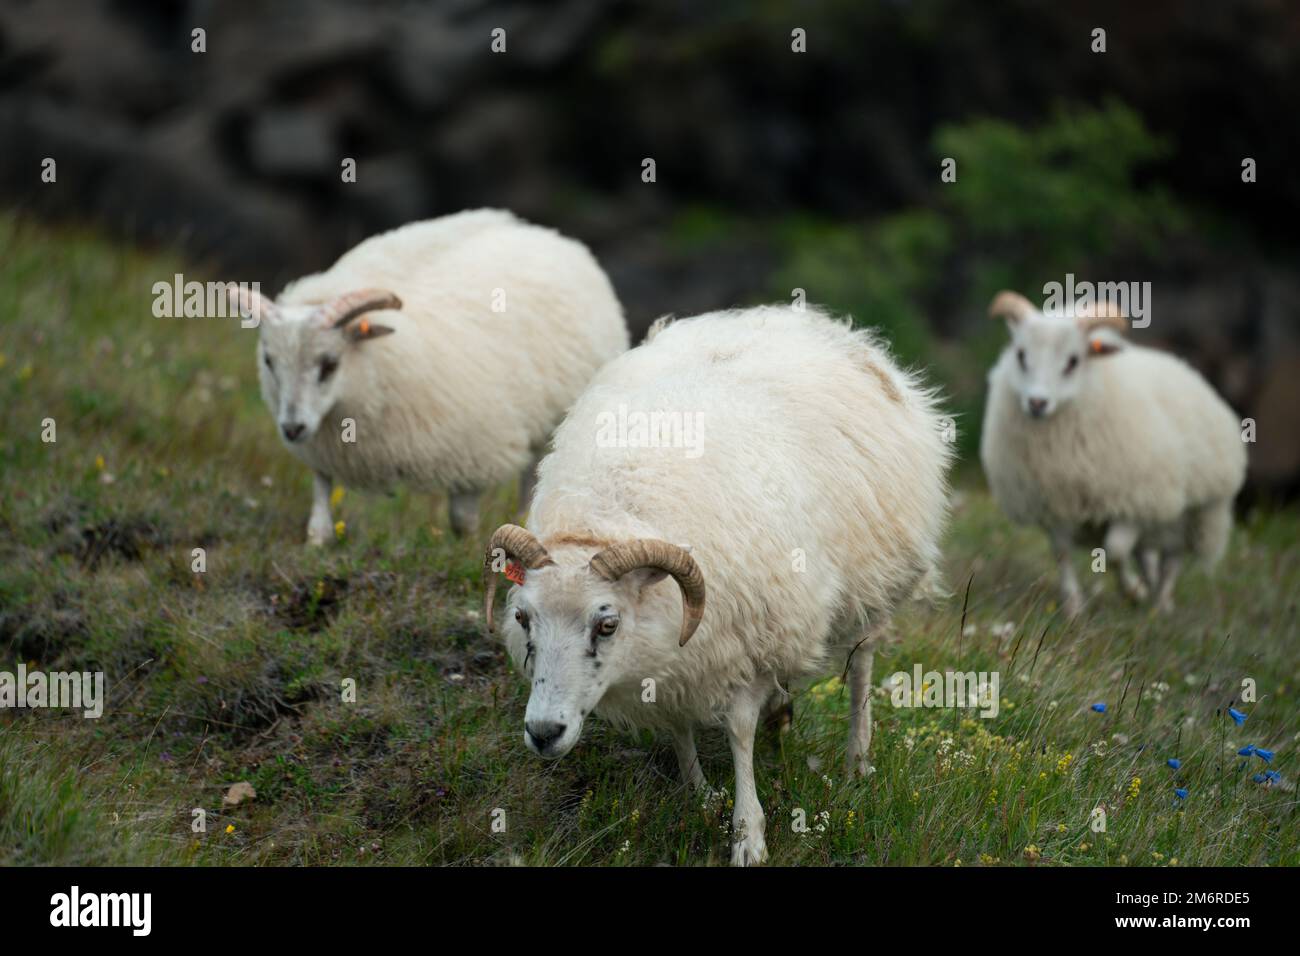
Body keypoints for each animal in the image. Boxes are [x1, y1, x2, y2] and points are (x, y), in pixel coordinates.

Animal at [232, 208, 629, 546]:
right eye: (269, 361)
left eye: (329, 364)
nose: (291, 429)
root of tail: (545, 232)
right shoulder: (321, 446)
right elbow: (321, 492)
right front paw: (318, 539)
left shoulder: (475, 449)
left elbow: (462, 520)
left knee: (531, 474)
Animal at [483, 306, 951, 868]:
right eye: (523, 618)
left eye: (607, 624)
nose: (542, 733)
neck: (611, 509)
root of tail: (796, 316)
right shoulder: (678, 658)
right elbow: (676, 724)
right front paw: (700, 793)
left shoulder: (746, 637)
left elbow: (739, 732)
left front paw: (749, 834)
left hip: (874, 580)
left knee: (861, 662)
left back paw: (856, 760)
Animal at [977, 291, 1242, 616]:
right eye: (1021, 355)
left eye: (1073, 361)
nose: (1037, 403)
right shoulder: (1053, 504)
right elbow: (1063, 553)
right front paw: (1074, 608)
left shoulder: (1136, 500)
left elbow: (1113, 551)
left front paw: (1133, 591)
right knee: (1146, 553)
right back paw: (1149, 585)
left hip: (1193, 514)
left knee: (1172, 558)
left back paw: (1161, 602)